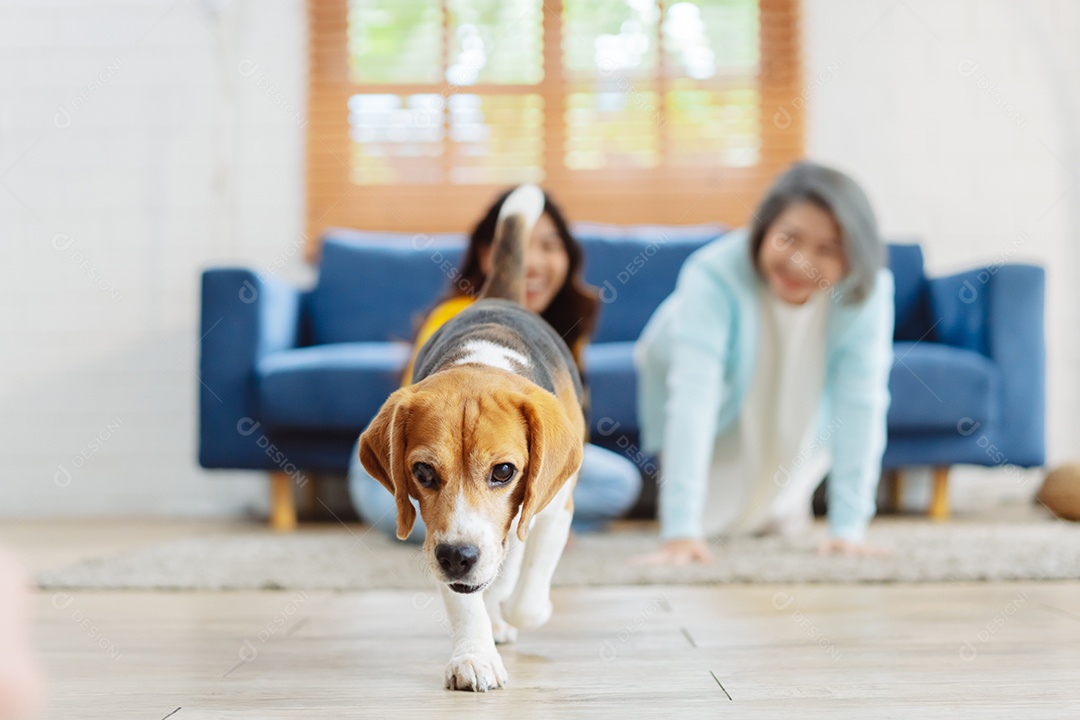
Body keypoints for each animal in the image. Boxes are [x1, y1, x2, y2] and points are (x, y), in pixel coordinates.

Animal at [358, 185, 583, 690]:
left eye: (503, 471)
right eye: (423, 472)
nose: (458, 557)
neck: (482, 362)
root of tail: (497, 297)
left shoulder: (555, 506)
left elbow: (527, 595)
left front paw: (520, 610)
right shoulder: (438, 534)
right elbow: (465, 600)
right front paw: (474, 656)